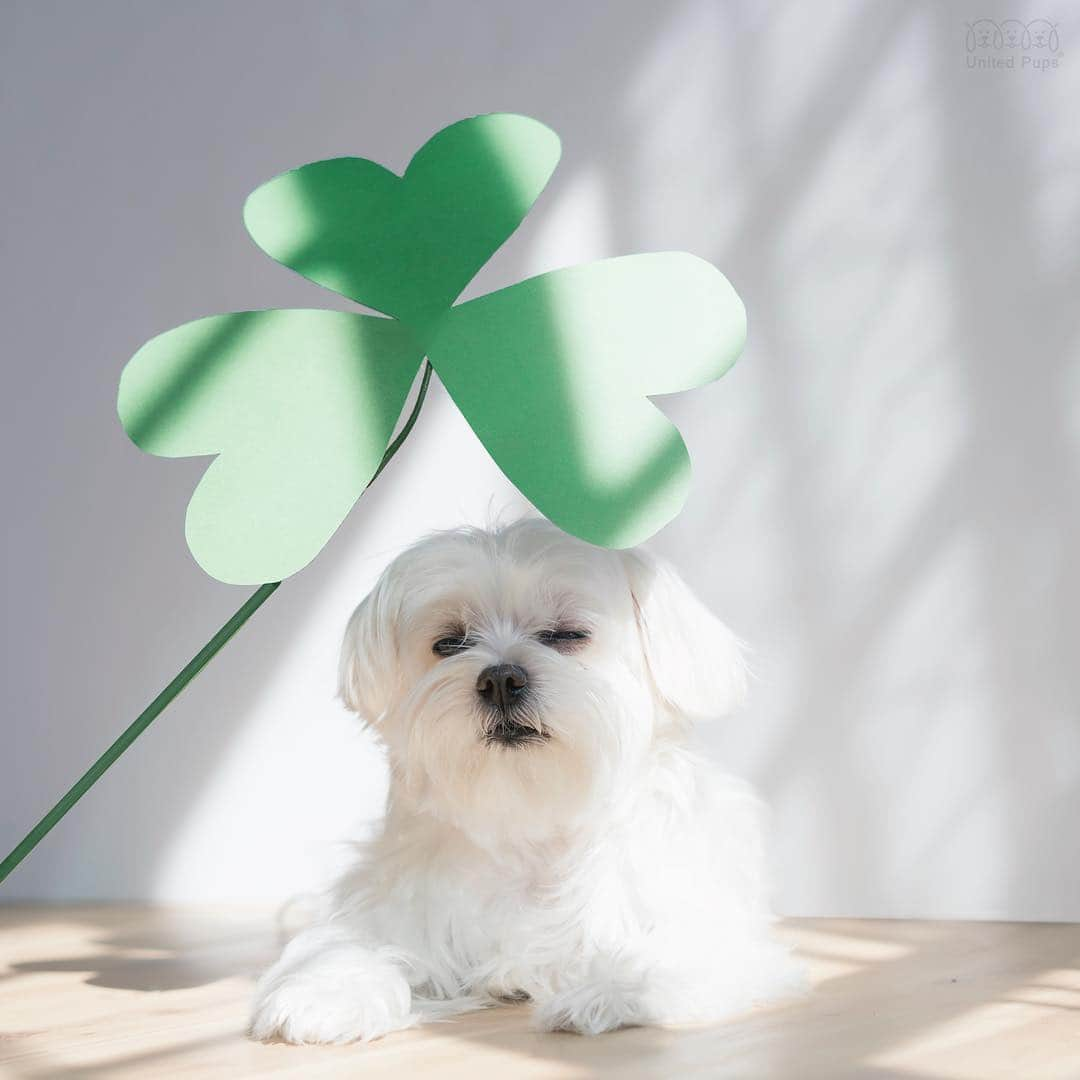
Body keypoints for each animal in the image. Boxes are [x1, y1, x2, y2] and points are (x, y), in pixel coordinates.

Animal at [248, 518, 799, 1041]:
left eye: (567, 635)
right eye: (448, 643)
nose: (500, 679)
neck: (531, 820)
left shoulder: (704, 926)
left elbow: (666, 952)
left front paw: (607, 988)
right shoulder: (398, 908)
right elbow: (344, 947)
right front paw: (326, 994)